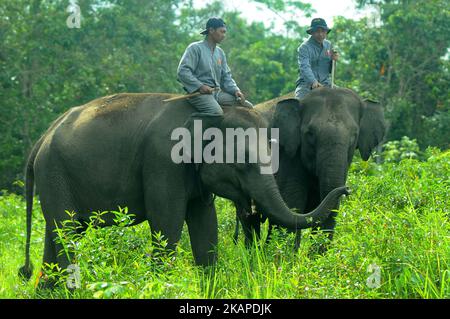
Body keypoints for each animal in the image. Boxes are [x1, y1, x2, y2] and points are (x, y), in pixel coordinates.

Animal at [18, 93, 348, 288]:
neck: (210, 114)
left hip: (56, 178)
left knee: (57, 233)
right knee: (66, 233)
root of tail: (42, 138)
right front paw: (161, 287)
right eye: (243, 164)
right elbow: (167, 222)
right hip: (55, 173)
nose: (346, 189)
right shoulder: (162, 162)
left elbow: (205, 225)